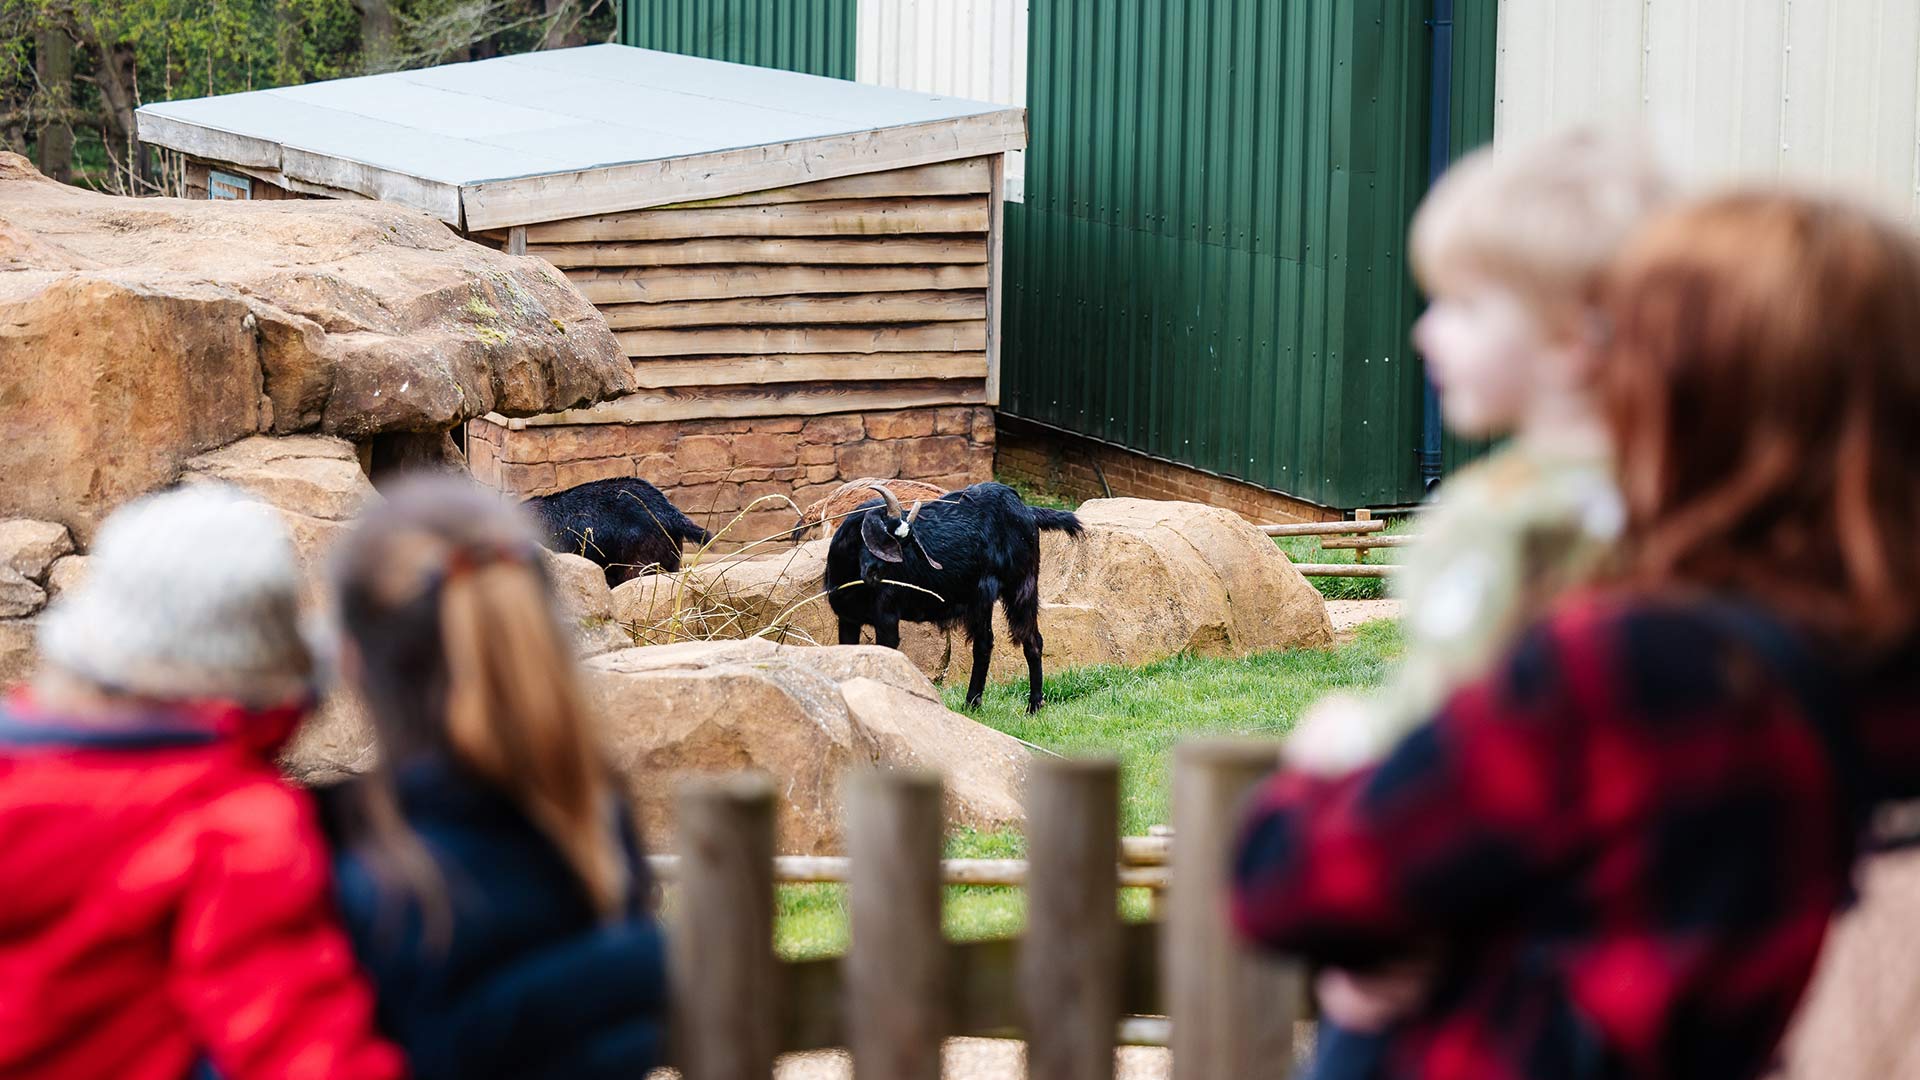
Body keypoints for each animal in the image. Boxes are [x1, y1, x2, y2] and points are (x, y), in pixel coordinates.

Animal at [821, 478, 1082, 707]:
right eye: (881, 533)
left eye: (904, 544)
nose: (876, 573)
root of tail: (1025, 509)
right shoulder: (847, 619)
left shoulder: (886, 619)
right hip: (980, 599)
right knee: (984, 644)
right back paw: (972, 704)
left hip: (1020, 586)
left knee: (1031, 640)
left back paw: (1034, 705)